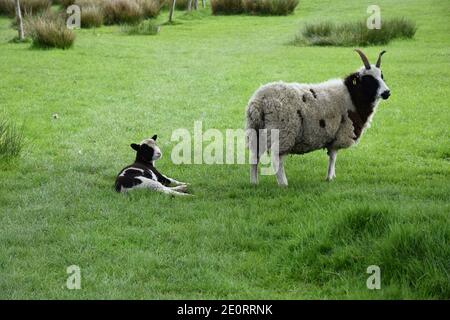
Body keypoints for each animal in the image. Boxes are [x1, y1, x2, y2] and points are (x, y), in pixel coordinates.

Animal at [246, 48, 390, 186]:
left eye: (382, 76)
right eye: (369, 80)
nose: (387, 92)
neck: (352, 96)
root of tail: (259, 101)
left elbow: (331, 156)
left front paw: (331, 176)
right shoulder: (339, 133)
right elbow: (333, 157)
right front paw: (329, 178)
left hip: (255, 131)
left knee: (254, 157)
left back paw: (254, 182)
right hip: (282, 133)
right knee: (276, 160)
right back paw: (283, 184)